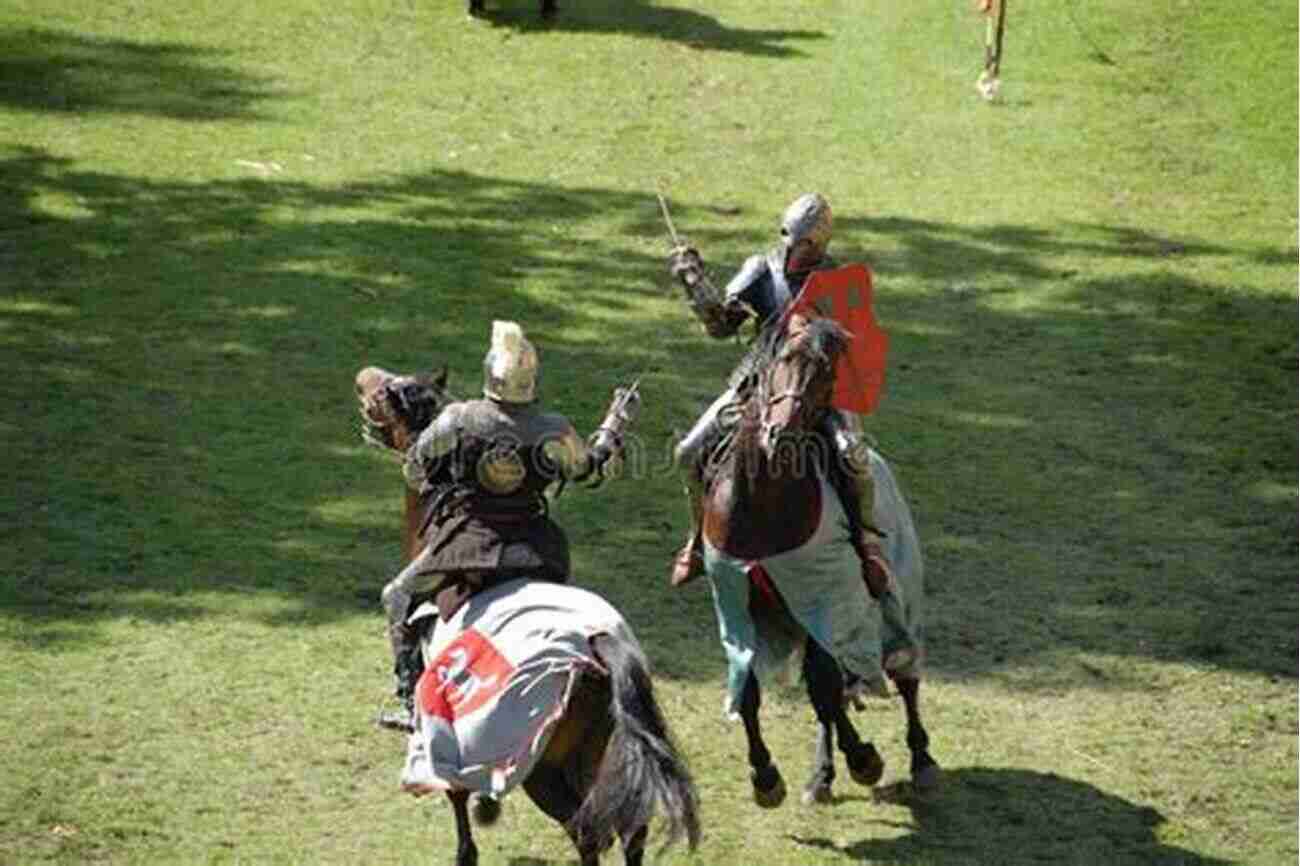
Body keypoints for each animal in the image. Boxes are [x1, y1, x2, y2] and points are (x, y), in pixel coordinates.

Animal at [356, 364, 702, 863]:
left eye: (393, 391)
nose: (365, 381)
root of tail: (599, 645)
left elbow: (459, 810)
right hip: (601, 754)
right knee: (629, 830)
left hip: (545, 769)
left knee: (588, 832)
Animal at [696, 313, 941, 806]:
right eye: (785, 358)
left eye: (828, 374)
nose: (782, 434)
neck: (762, 504)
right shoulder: (739, 604)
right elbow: (753, 690)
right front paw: (765, 776)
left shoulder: (822, 597)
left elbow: (824, 687)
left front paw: (864, 759)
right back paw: (821, 774)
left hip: (894, 598)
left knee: (904, 675)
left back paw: (921, 760)